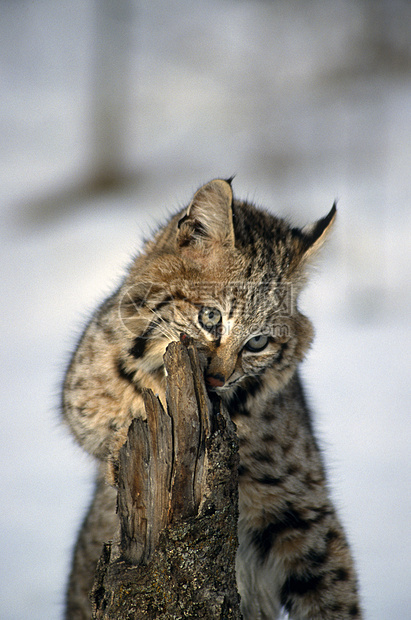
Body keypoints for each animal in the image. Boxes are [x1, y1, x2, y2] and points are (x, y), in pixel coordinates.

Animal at [62, 177, 362, 616]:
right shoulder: (78, 392)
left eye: (258, 342)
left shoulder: (301, 503)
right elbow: (111, 414)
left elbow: (335, 592)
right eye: (210, 317)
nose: (217, 379)